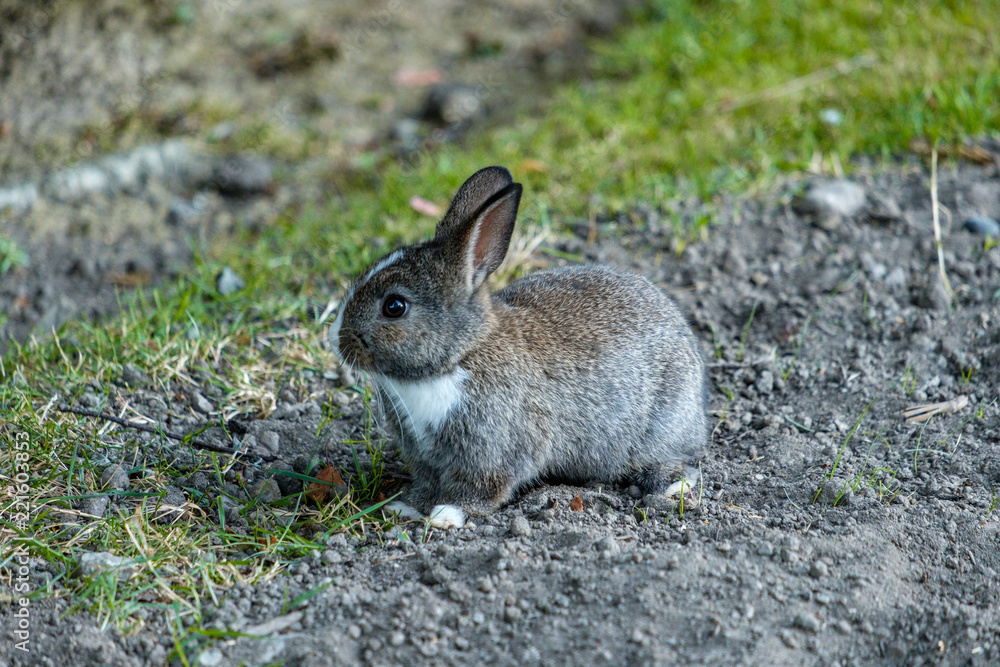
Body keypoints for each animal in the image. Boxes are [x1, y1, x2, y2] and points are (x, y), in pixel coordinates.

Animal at [329, 166, 707, 528]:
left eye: (394, 306)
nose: (337, 340)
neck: (460, 356)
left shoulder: (494, 450)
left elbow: (481, 491)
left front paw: (447, 515)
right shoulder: (426, 457)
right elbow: (428, 483)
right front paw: (408, 507)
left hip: (662, 425)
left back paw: (670, 485)